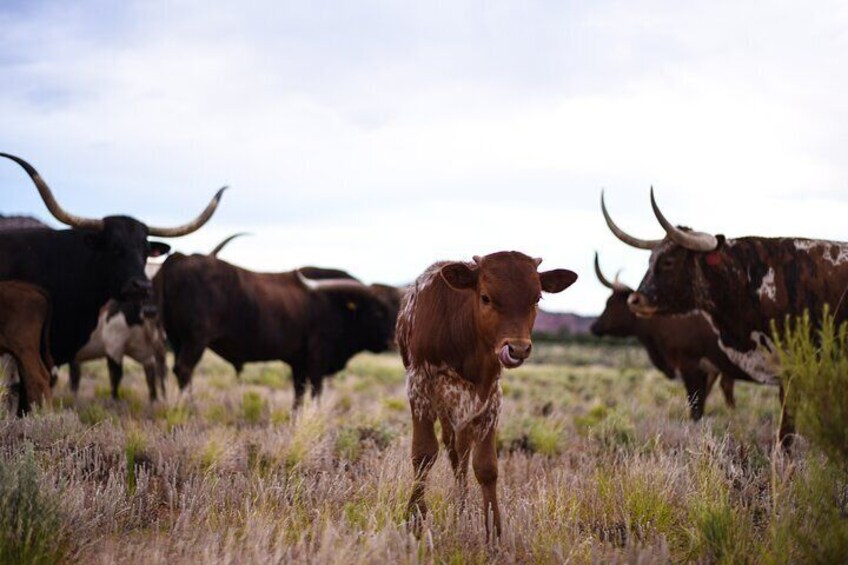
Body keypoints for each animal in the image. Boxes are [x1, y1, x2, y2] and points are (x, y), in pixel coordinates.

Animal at [398, 252, 576, 536]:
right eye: (485, 297)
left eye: (537, 298)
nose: (517, 349)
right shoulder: (419, 387)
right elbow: (424, 454)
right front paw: (414, 517)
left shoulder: (491, 398)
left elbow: (486, 466)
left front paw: (494, 530)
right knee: (451, 450)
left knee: (459, 452)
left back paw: (461, 505)